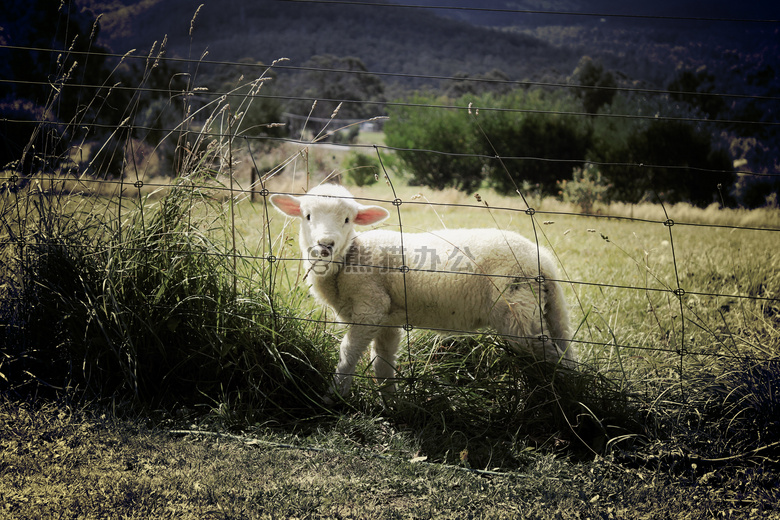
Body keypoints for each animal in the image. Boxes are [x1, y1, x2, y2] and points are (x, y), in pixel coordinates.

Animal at [272, 183, 576, 402]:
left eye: (348, 219)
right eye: (307, 216)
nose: (325, 245)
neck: (349, 259)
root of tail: (541, 261)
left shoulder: (371, 306)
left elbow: (348, 353)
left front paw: (333, 396)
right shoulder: (388, 319)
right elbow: (382, 362)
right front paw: (391, 404)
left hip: (516, 312)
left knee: (550, 355)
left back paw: (562, 399)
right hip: (545, 308)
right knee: (564, 348)